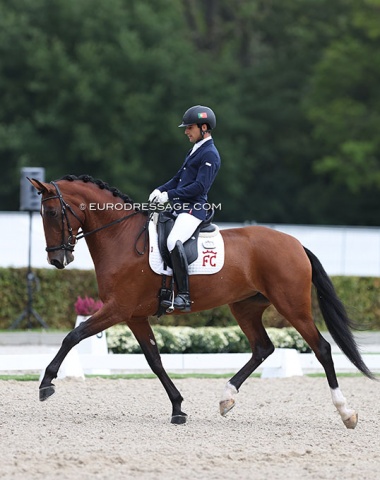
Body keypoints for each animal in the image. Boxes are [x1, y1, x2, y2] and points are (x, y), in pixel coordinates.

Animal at [29, 175, 374, 428]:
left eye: (53, 213)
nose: (58, 259)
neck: (121, 237)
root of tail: (296, 243)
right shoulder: (134, 316)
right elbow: (154, 360)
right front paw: (178, 409)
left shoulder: (118, 309)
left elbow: (73, 335)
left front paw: (46, 384)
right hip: (245, 307)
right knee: (263, 348)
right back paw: (226, 399)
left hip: (292, 306)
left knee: (322, 348)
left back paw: (346, 413)